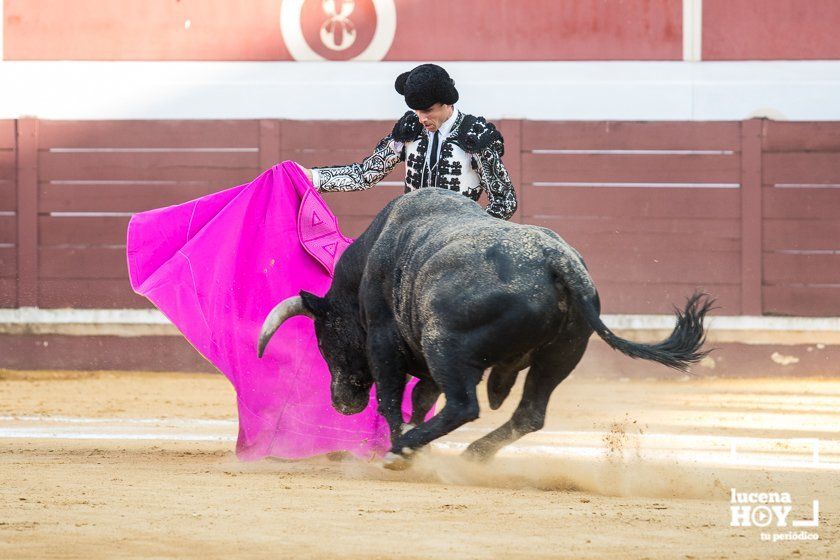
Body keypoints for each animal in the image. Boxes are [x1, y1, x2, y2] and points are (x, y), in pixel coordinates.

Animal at [260, 187, 712, 468]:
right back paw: (471, 454)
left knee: (464, 406)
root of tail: (557, 260)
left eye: (326, 340)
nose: (342, 404)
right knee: (529, 414)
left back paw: (403, 452)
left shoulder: (384, 340)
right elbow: (419, 400)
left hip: (445, 344)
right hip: (561, 354)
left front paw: (401, 444)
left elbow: (392, 399)